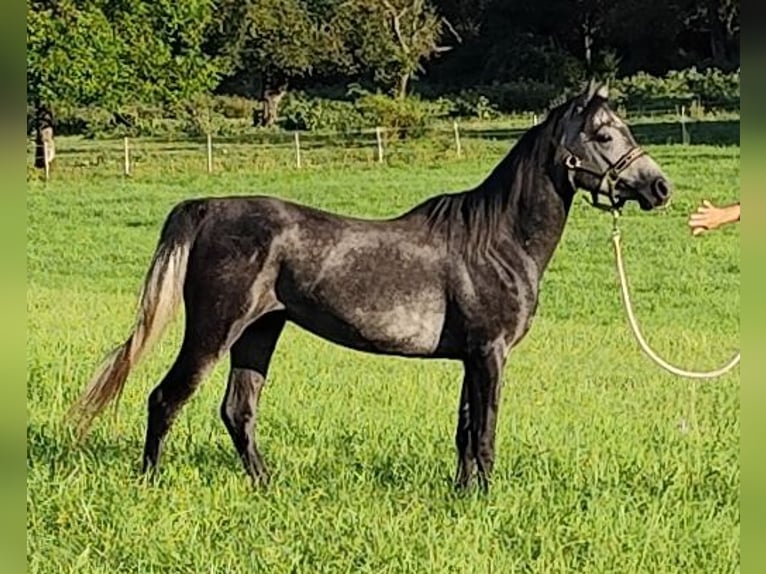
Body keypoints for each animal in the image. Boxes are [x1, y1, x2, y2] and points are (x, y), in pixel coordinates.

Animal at [70, 83, 672, 492]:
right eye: (604, 134)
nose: (659, 187)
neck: (497, 239)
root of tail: (209, 207)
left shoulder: (470, 357)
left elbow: (464, 430)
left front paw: (462, 495)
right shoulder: (490, 352)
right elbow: (485, 433)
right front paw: (485, 497)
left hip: (259, 333)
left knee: (238, 411)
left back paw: (267, 485)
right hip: (214, 330)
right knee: (165, 398)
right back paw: (150, 482)